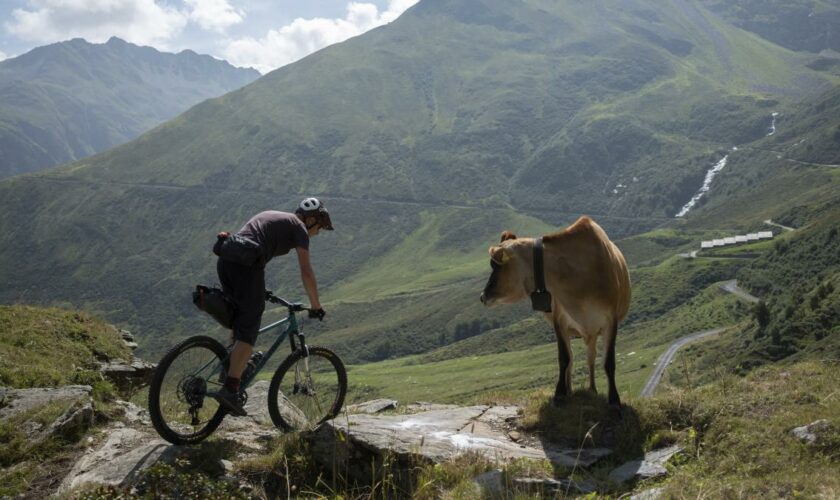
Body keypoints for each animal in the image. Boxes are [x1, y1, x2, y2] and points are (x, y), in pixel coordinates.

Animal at [480, 215, 632, 406]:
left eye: (496, 266)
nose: (482, 296)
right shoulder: (560, 320)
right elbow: (564, 358)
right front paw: (560, 392)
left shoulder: (610, 320)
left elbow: (609, 362)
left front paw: (614, 400)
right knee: (575, 359)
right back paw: (570, 390)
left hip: (592, 331)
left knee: (590, 357)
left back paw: (592, 389)